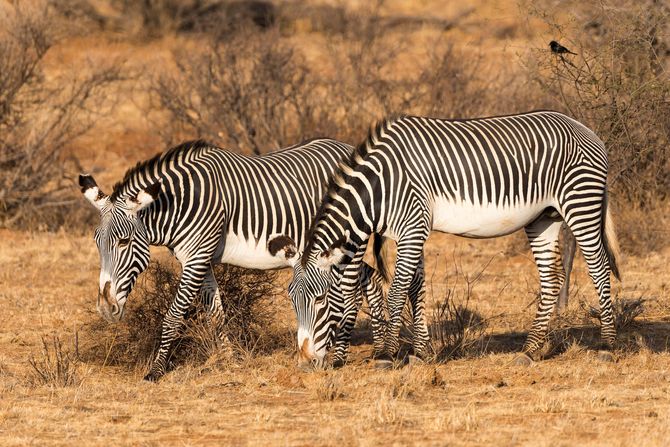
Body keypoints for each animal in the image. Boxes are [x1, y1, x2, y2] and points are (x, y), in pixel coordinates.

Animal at [78, 139, 388, 381]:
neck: (179, 204)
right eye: (96, 242)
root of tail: (348, 148)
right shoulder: (198, 260)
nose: (105, 309)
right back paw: (381, 349)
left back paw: (342, 357)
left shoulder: (196, 257)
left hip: (349, 243)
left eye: (123, 242)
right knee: (371, 279)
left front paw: (156, 370)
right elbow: (215, 313)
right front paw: (228, 360)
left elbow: (173, 315)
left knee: (352, 294)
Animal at [273, 111, 621, 366]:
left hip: (580, 203)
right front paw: (421, 353)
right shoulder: (409, 231)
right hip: (543, 217)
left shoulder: (413, 226)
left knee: (599, 268)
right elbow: (415, 289)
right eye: (291, 301)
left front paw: (386, 355)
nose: (304, 362)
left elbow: (397, 292)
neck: (379, 189)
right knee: (551, 278)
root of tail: (585, 128)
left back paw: (607, 346)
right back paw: (530, 350)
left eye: (320, 301)